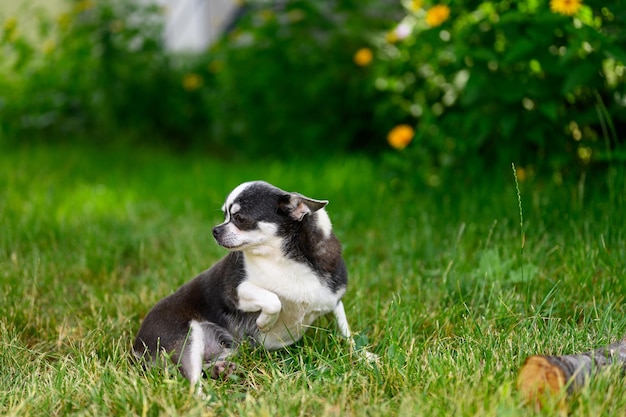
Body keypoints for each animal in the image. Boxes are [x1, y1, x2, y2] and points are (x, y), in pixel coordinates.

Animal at [132, 180, 352, 386]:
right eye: (224, 215)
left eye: (239, 218)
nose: (215, 230)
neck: (286, 258)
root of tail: (136, 348)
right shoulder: (236, 291)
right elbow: (273, 300)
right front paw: (264, 323)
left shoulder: (334, 297)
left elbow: (345, 328)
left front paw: (357, 353)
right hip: (186, 339)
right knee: (192, 381)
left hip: (224, 348)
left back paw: (220, 370)